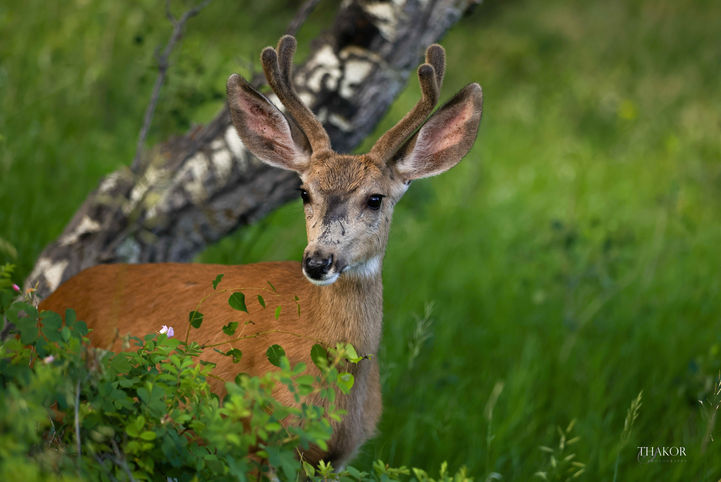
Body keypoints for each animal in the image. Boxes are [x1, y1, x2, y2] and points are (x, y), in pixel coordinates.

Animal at [39, 35, 483, 468]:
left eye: (375, 199)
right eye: (303, 192)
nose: (318, 261)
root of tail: (46, 303)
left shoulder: (335, 458)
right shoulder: (258, 438)